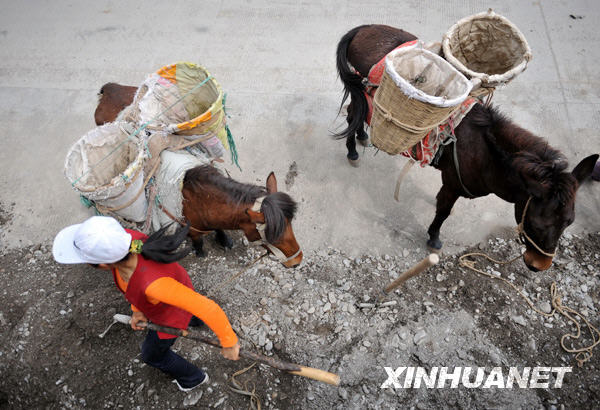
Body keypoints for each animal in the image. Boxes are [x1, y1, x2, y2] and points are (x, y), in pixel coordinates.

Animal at [94, 85, 304, 270]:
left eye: (291, 225)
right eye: (273, 236)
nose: (297, 260)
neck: (202, 201)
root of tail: (109, 88)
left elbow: (219, 229)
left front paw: (224, 240)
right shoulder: (192, 228)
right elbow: (198, 240)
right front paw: (200, 251)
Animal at [338, 24, 600, 270]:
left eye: (569, 221)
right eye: (536, 223)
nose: (540, 265)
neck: (485, 152)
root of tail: (364, 28)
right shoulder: (452, 183)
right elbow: (443, 211)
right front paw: (434, 238)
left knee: (359, 114)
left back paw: (362, 136)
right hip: (362, 89)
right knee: (352, 114)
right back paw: (352, 151)